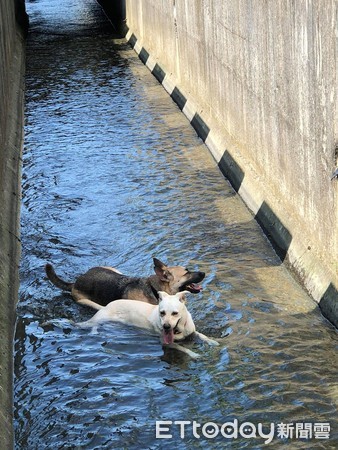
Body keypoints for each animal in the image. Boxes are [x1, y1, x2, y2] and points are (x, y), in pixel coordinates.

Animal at [46, 256, 205, 310]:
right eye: (186, 272)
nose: (204, 273)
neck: (154, 290)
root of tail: (75, 282)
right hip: (86, 301)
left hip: (114, 270)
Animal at [77, 292, 219, 358]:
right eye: (162, 313)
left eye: (175, 313)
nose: (166, 326)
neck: (179, 330)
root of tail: (106, 306)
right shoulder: (167, 343)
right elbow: (183, 348)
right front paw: (194, 354)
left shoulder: (192, 332)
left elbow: (202, 336)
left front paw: (213, 341)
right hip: (99, 319)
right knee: (88, 324)